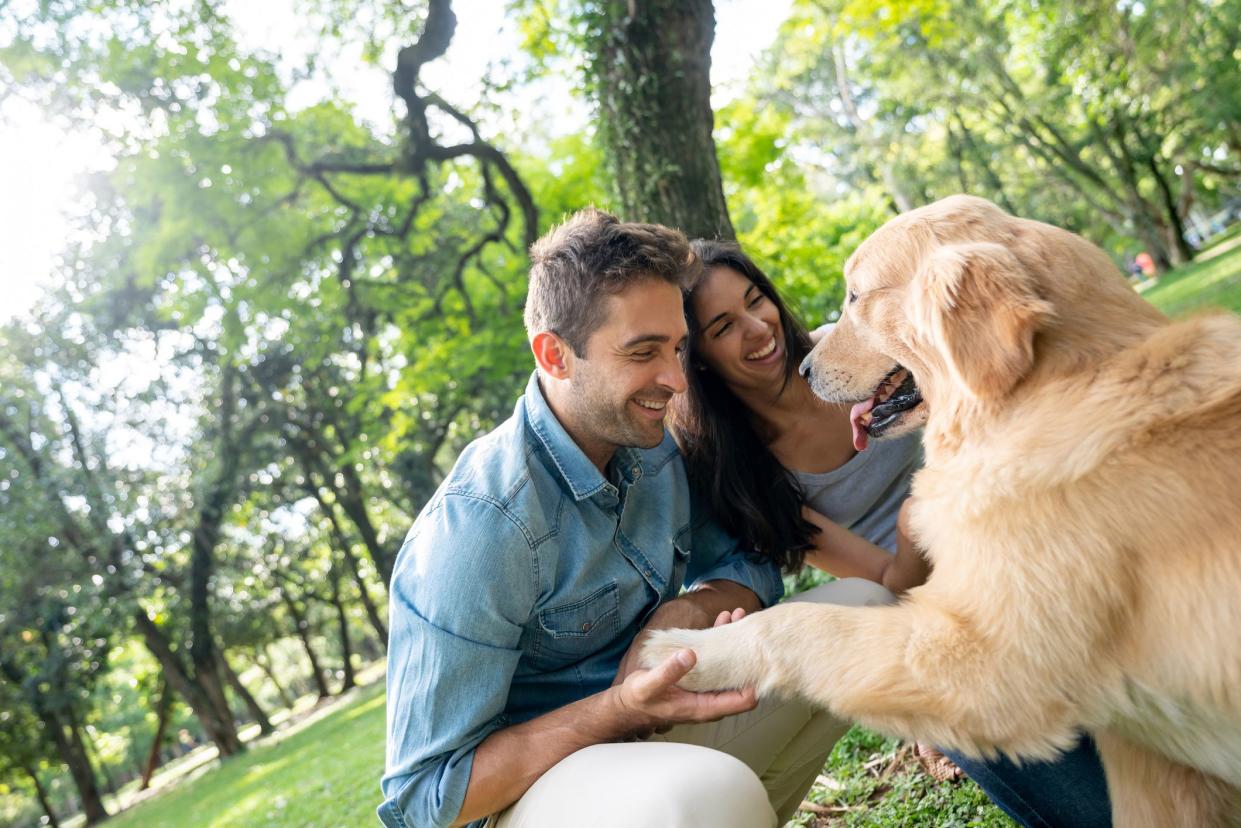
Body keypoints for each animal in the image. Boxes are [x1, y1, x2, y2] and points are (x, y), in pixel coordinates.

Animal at [645, 196, 1241, 828]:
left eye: (855, 296)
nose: (802, 371)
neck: (1048, 391)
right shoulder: (1151, 760)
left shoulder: (989, 669)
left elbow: (800, 624)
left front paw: (683, 650)